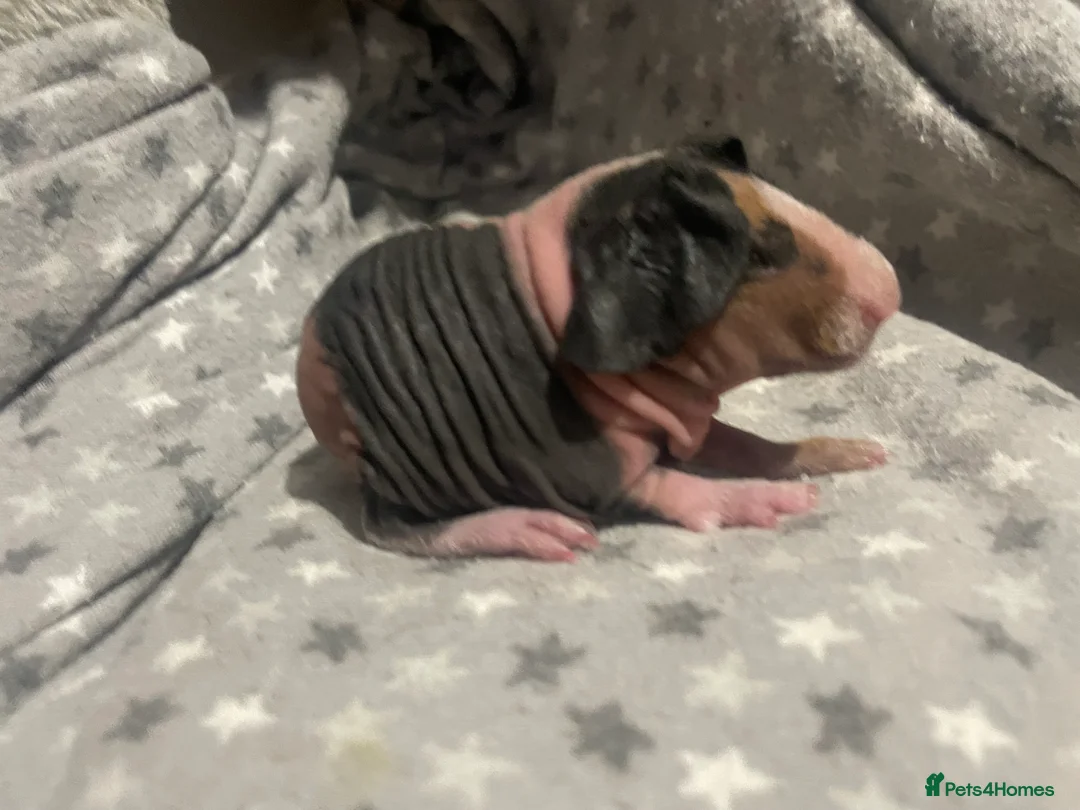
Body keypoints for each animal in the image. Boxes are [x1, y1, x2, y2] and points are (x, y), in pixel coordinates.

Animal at [295, 136, 901, 562]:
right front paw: (770, 502)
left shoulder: (683, 422)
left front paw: (853, 451)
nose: (891, 291)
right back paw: (534, 530)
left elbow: (750, 445)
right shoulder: (588, 469)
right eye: (759, 255)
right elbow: (667, 486)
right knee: (393, 528)